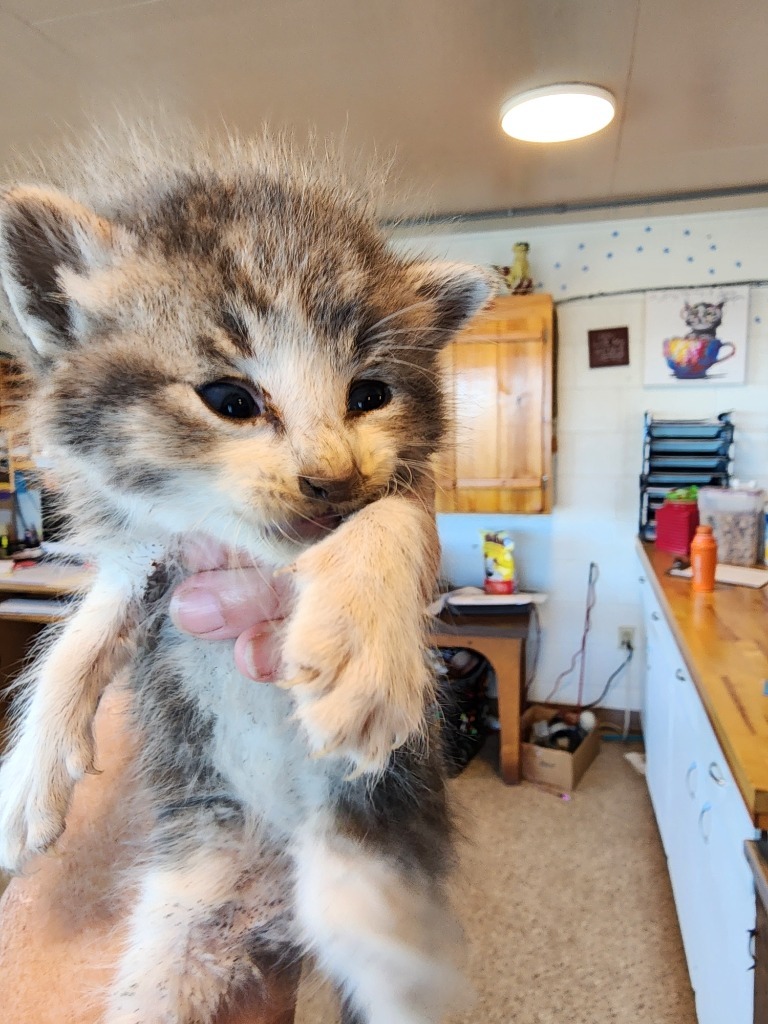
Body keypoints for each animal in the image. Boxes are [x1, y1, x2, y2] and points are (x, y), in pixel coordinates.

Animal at [0, 128, 493, 1024]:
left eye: (371, 393)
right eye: (229, 398)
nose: (332, 479)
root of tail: (274, 905)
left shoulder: (403, 490)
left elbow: (387, 520)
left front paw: (364, 649)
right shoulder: (155, 557)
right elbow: (84, 630)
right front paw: (29, 773)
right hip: (181, 922)